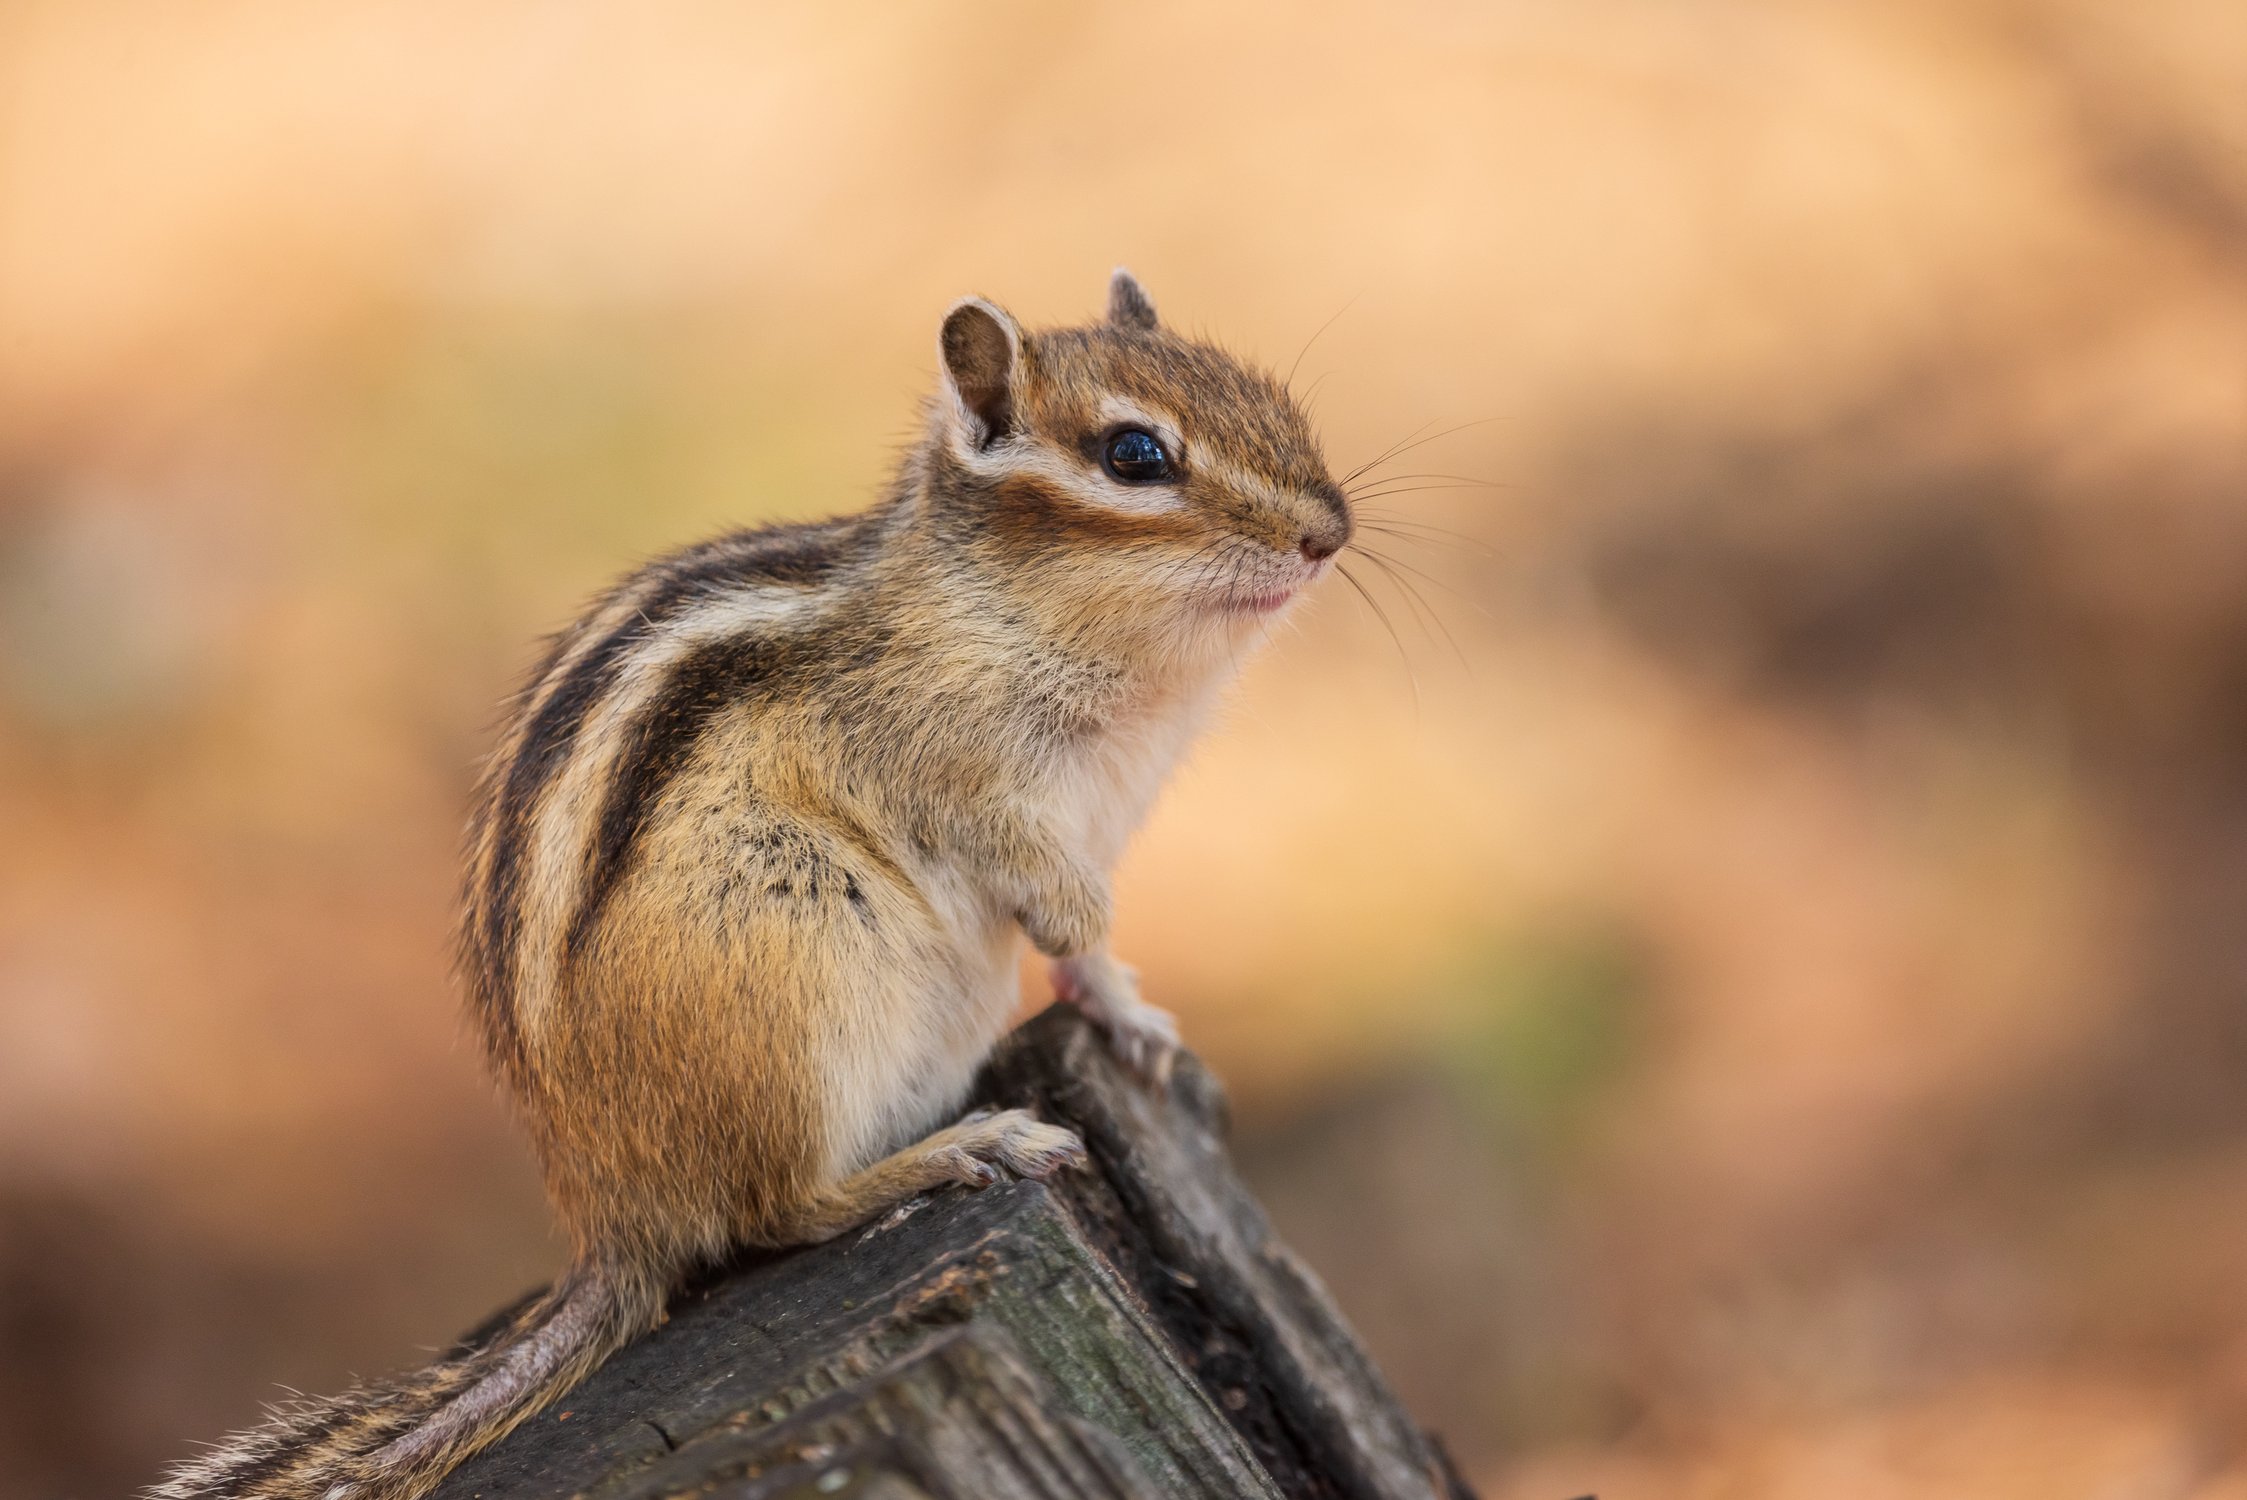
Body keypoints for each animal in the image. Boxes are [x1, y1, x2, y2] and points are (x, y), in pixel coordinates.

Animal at [156, 269, 1354, 1500]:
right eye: (1134, 455)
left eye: (1264, 390)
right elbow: (1045, 892)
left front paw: (1130, 1017)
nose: (1330, 533)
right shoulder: (950, 766)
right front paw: (1096, 969)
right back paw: (966, 1149)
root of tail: (615, 1217)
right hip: (802, 970)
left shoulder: (1101, 817)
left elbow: (1086, 943)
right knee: (777, 1213)